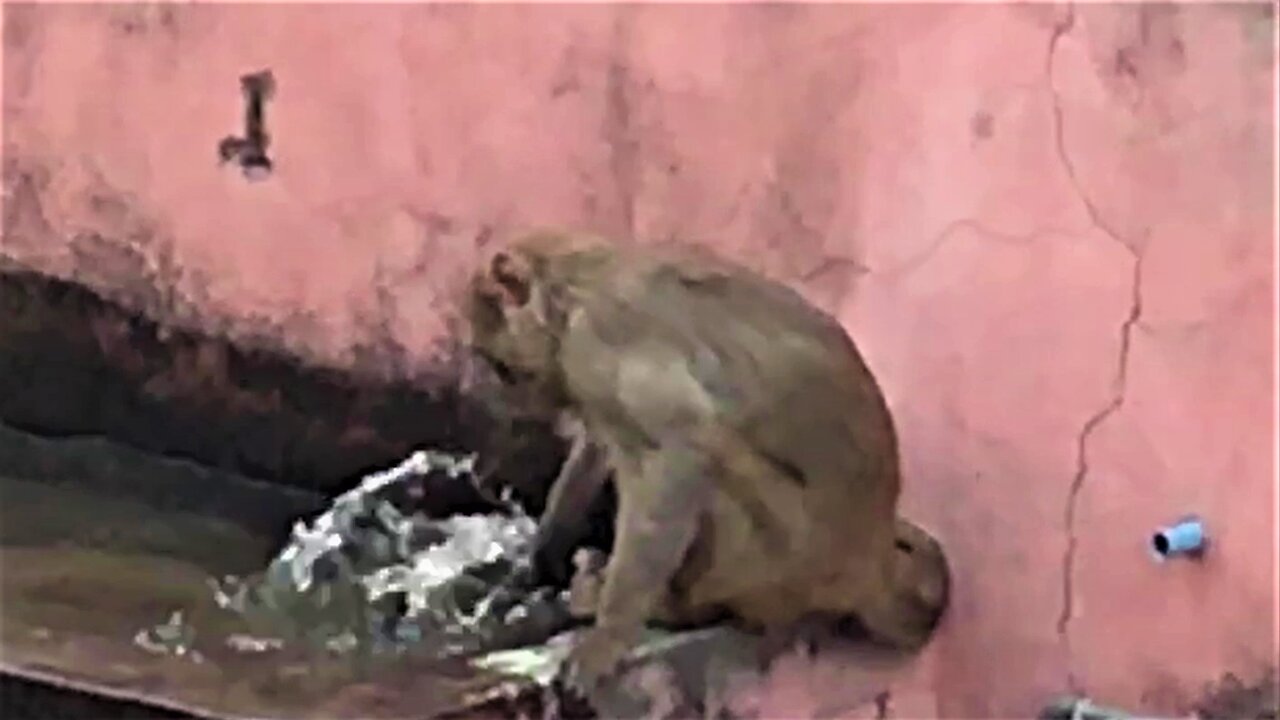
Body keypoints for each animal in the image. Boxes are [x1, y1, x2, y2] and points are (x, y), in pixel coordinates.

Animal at [455, 228, 947, 691]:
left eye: (499, 367)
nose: (505, 400)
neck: (571, 292)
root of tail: (873, 566)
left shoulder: (600, 341)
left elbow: (679, 451)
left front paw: (608, 636)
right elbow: (598, 443)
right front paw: (540, 559)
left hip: (789, 554)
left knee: (711, 451)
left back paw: (674, 607)